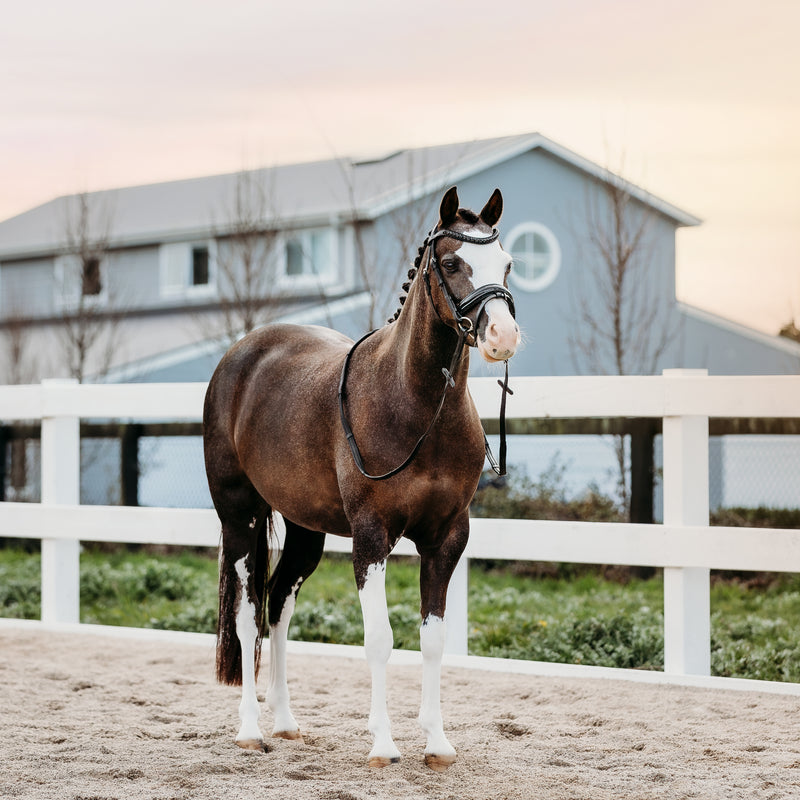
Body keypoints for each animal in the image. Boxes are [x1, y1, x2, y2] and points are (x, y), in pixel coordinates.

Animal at [203, 184, 520, 772]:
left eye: (507, 263)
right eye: (450, 263)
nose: (502, 335)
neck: (414, 405)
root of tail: (239, 357)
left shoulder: (447, 538)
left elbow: (432, 640)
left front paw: (437, 742)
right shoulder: (372, 537)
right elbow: (379, 639)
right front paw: (383, 744)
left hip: (306, 531)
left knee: (278, 605)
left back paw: (285, 722)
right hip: (239, 520)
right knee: (246, 613)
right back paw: (251, 730)